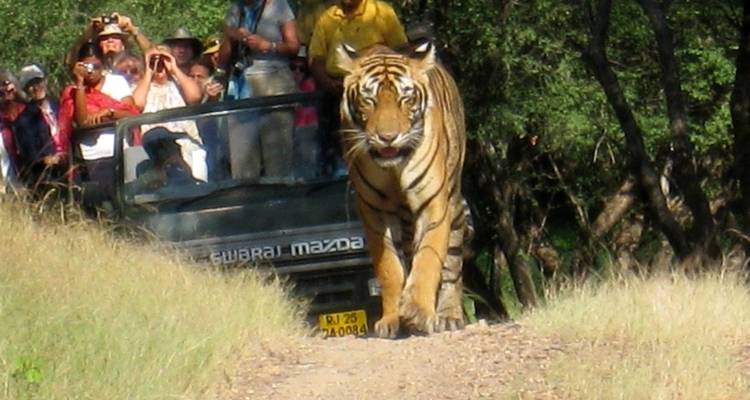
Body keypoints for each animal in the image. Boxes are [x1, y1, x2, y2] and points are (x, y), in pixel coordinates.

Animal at [337, 42, 467, 338]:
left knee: (452, 264)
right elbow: (389, 268)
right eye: (369, 99)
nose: (388, 138)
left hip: (454, 203)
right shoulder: (374, 211)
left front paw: (418, 312)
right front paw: (393, 319)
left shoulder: (433, 204)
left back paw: (449, 316)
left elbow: (428, 258)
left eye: (405, 99)